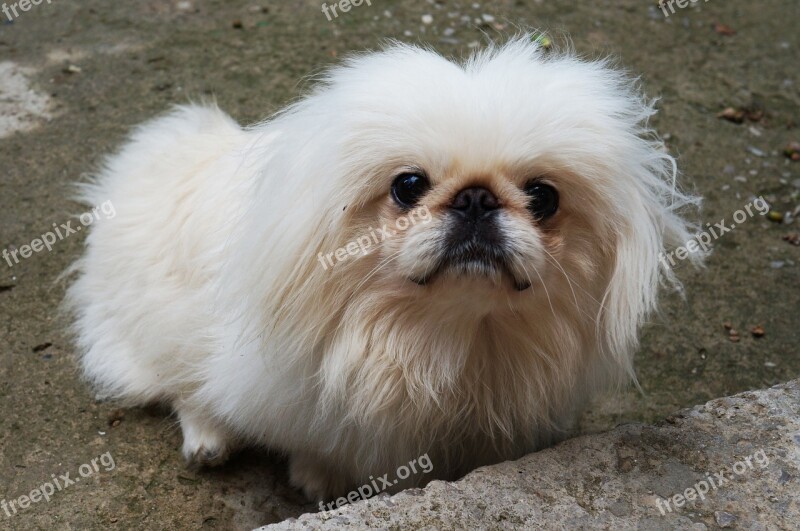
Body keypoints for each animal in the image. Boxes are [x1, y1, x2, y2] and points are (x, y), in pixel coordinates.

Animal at [67, 36, 700, 502]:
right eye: (408, 186)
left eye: (543, 197)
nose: (476, 198)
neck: (442, 336)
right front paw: (320, 477)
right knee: (181, 383)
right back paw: (208, 439)